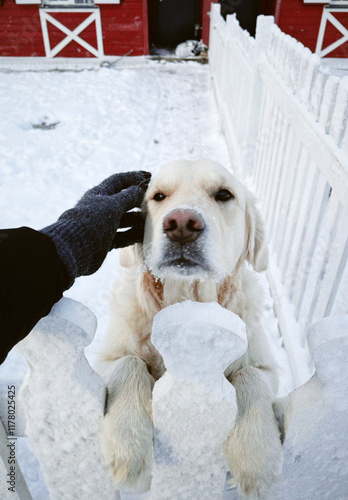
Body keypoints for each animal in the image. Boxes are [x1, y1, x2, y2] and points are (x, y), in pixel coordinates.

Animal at [96, 159, 282, 496]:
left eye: (224, 194)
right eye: (158, 196)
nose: (182, 223)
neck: (188, 303)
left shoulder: (267, 367)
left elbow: (251, 376)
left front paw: (256, 458)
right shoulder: (106, 358)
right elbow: (129, 363)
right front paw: (127, 445)